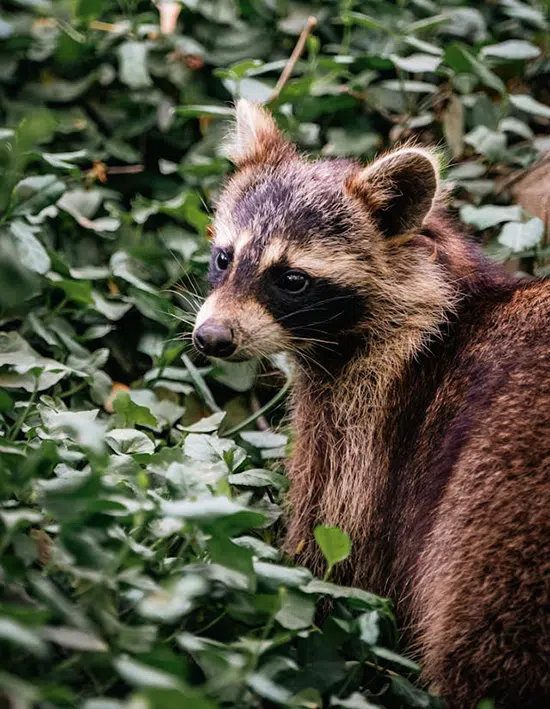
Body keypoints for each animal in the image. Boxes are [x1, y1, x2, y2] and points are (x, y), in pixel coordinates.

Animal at [192, 100, 550, 708]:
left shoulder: (372, 421)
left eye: (292, 279)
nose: (211, 338)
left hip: (501, 506)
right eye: (224, 257)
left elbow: (337, 561)